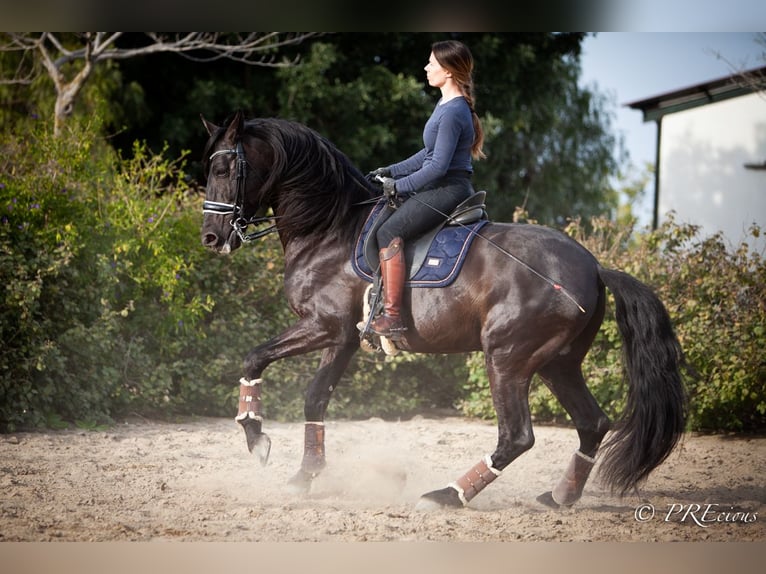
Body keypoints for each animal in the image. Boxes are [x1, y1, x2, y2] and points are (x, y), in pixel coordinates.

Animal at [200, 111, 688, 508]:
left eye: (224, 168)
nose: (211, 237)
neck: (329, 228)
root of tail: (593, 265)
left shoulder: (327, 328)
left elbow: (277, 372)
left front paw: (264, 444)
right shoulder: (338, 337)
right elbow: (297, 387)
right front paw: (294, 467)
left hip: (507, 358)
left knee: (517, 435)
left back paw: (448, 495)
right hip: (558, 362)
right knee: (592, 423)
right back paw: (559, 496)